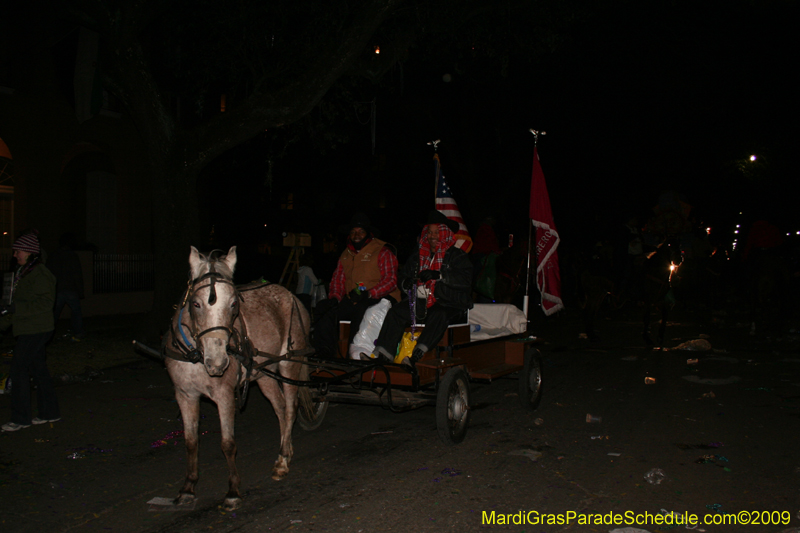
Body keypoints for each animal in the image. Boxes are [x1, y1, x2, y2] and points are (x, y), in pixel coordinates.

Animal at [162, 247, 312, 510]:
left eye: (233, 303)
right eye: (196, 303)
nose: (217, 362)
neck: (195, 356)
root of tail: (290, 294)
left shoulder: (224, 395)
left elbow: (228, 444)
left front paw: (233, 491)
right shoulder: (184, 395)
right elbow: (191, 442)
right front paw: (188, 487)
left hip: (289, 363)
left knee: (291, 408)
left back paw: (283, 459)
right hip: (262, 374)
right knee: (281, 408)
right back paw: (285, 451)